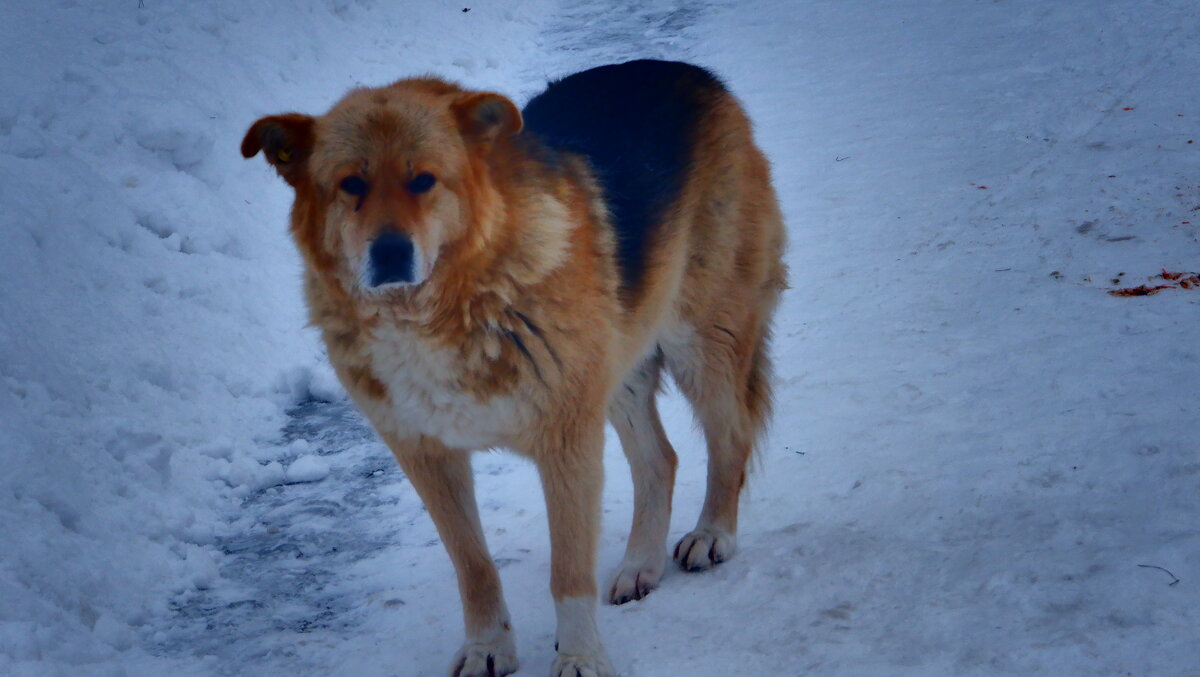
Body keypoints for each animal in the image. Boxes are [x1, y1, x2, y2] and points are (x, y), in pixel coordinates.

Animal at [243, 59, 787, 677]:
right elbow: (473, 567)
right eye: (350, 185)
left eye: (424, 180)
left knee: (730, 436)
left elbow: (568, 574)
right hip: (619, 369)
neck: (438, 309)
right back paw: (639, 565)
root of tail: (693, 73)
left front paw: (580, 657)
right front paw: (489, 647)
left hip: (702, 342)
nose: (390, 253)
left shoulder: (567, 443)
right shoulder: (427, 456)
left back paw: (712, 533)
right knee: (660, 460)